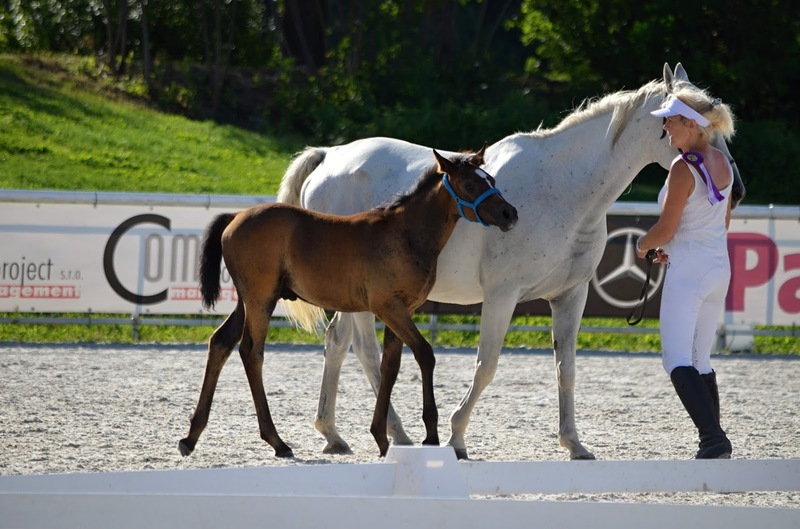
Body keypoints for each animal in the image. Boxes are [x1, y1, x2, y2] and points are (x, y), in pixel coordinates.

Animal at [178, 148, 518, 458]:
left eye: (491, 179)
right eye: (470, 184)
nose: (510, 214)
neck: (404, 234)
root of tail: (235, 216)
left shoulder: (401, 310)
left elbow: (390, 364)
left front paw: (382, 437)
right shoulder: (388, 308)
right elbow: (425, 355)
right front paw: (429, 436)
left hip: (247, 300)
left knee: (221, 342)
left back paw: (191, 436)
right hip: (261, 299)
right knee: (251, 351)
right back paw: (277, 441)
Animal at [276, 63, 745, 460]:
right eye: (698, 127)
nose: (735, 190)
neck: (562, 191)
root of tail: (331, 156)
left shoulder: (570, 297)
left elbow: (566, 370)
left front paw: (574, 444)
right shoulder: (502, 297)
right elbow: (486, 366)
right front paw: (457, 437)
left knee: (338, 343)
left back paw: (336, 434)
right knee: (366, 351)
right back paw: (398, 434)